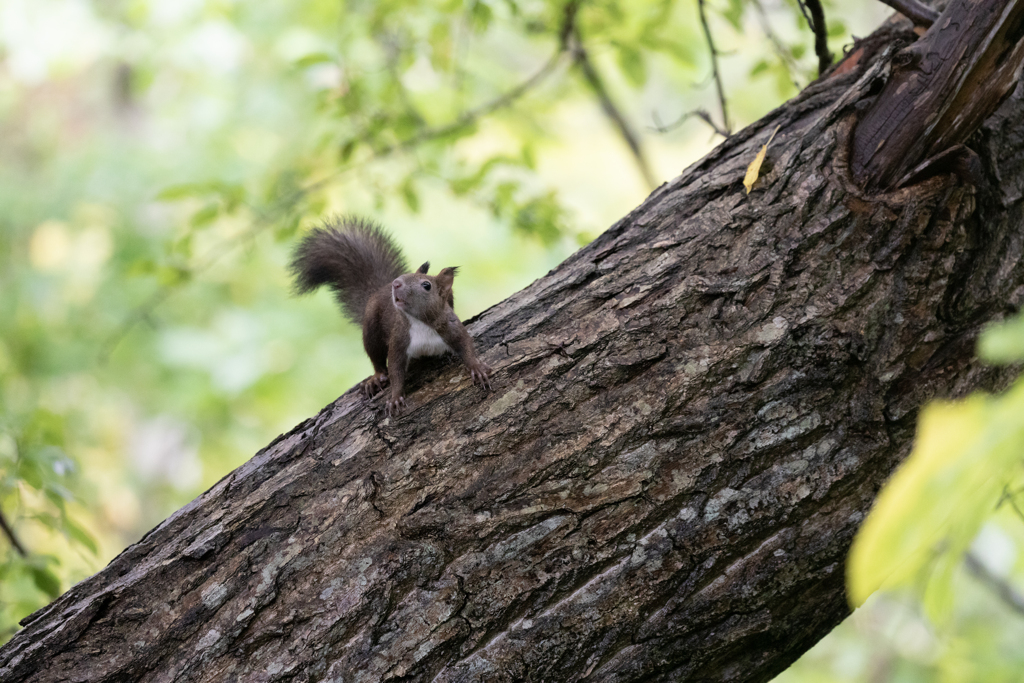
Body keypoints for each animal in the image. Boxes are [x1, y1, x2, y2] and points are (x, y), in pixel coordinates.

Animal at [290, 218, 493, 417]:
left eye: (426, 285)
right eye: (403, 276)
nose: (396, 283)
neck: (420, 322)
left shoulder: (451, 326)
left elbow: (466, 345)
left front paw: (477, 368)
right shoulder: (399, 339)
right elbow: (395, 369)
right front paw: (395, 398)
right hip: (371, 329)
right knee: (376, 358)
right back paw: (376, 378)